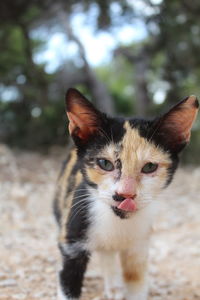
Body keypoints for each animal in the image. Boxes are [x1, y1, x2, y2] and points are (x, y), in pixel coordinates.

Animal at [54, 87, 199, 300]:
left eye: (149, 167)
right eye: (105, 163)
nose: (126, 195)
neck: (117, 223)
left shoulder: (139, 245)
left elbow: (135, 278)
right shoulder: (72, 241)